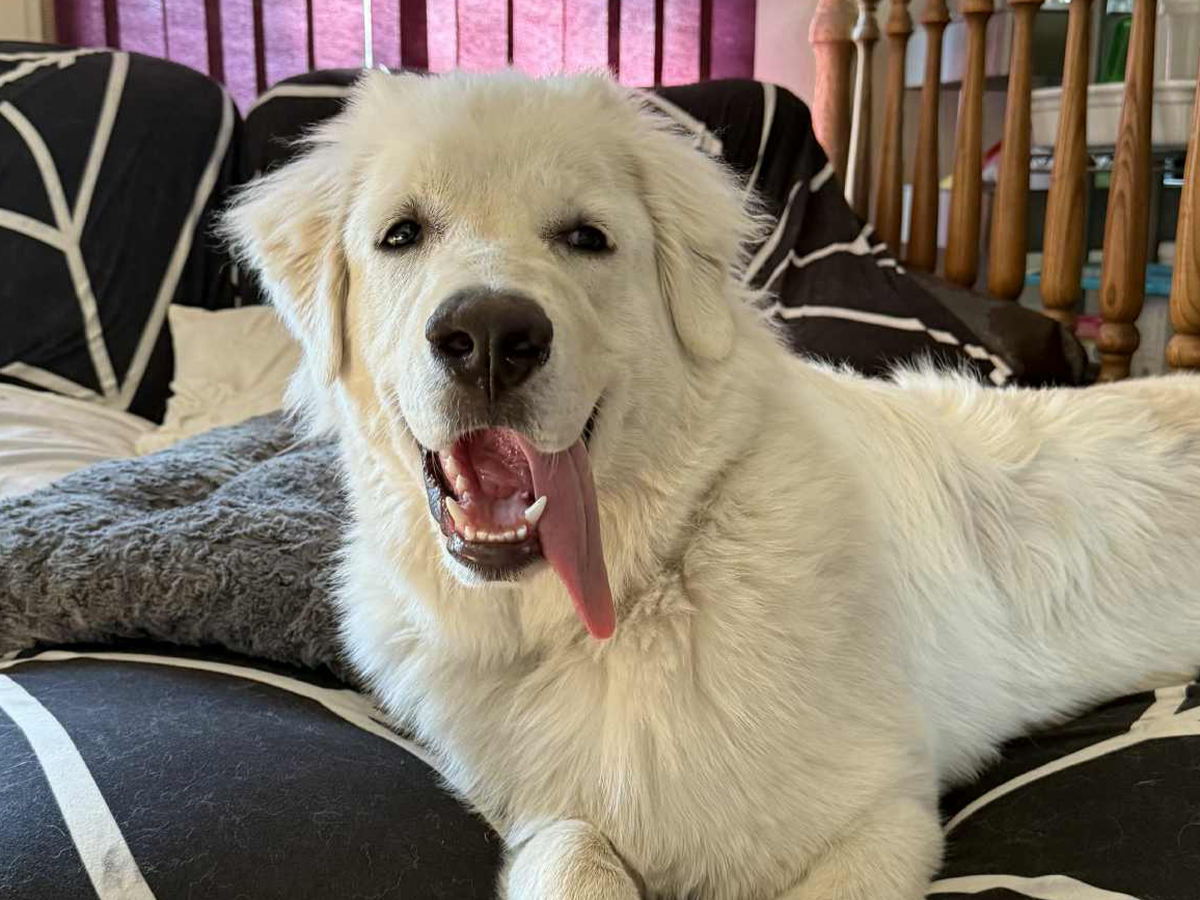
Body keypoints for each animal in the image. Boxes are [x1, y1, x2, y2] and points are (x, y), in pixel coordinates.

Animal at [223, 69, 1200, 899]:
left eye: (586, 238)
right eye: (402, 234)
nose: (491, 336)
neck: (641, 590)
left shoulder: (884, 813)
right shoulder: (553, 811)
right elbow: (573, 855)